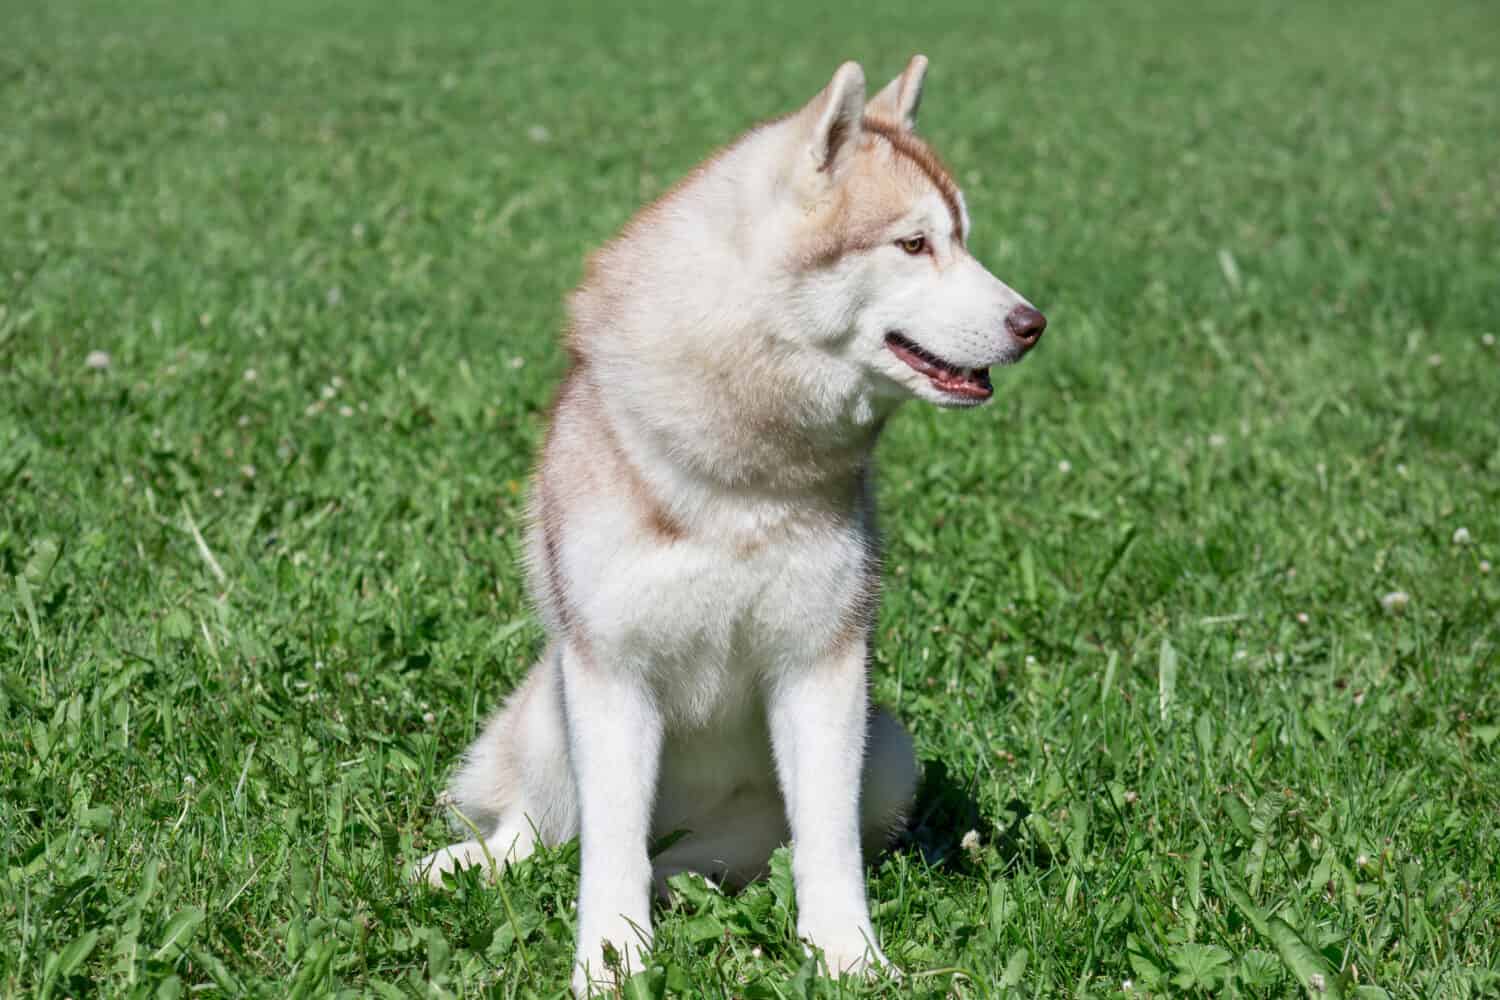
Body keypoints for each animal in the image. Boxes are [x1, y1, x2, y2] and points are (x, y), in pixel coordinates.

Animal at [417, 56, 1050, 995]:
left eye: (964, 238)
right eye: (913, 244)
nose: (1032, 324)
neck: (748, 472)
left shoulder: (823, 668)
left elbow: (827, 844)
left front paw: (848, 956)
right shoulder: (612, 672)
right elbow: (606, 850)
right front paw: (611, 963)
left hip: (889, 752)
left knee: (701, 856)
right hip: (550, 700)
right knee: (546, 829)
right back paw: (470, 863)